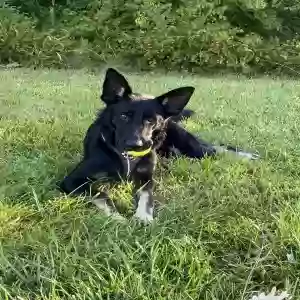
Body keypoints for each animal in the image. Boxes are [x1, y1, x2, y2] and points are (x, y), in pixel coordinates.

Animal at [59, 68, 260, 223]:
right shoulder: (73, 180)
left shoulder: (146, 178)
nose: (136, 144)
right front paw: (117, 218)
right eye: (123, 116)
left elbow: (146, 196)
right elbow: (101, 196)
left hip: (191, 147)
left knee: (217, 148)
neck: (126, 158)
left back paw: (247, 156)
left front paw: (144, 217)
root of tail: (171, 119)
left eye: (151, 120)